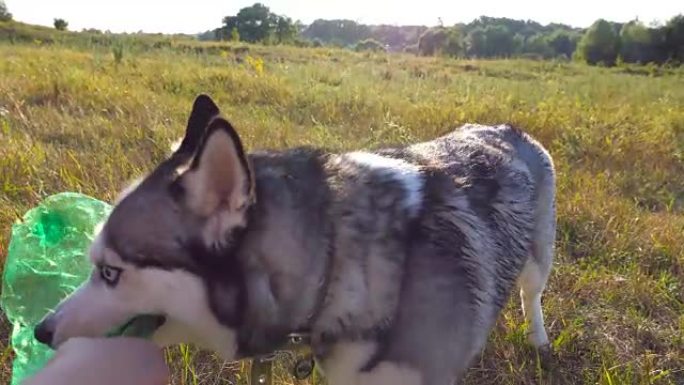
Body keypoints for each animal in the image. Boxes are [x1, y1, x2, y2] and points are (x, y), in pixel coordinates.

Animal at [34, 94, 556, 384]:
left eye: (110, 273)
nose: (41, 331)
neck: (340, 263)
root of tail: (505, 127)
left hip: (539, 259)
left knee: (531, 295)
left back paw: (539, 339)